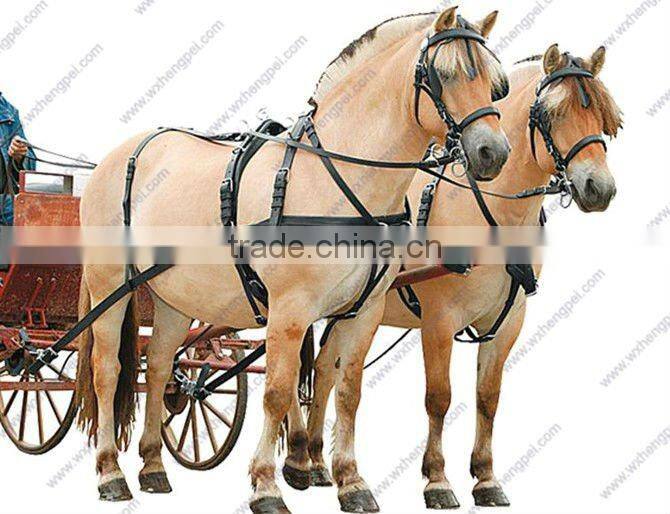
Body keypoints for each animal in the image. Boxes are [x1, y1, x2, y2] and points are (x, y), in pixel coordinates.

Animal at [74, 7, 510, 514]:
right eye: (445, 74)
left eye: (496, 84)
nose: (493, 152)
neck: (339, 180)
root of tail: (120, 153)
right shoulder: (290, 308)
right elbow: (279, 392)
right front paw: (266, 485)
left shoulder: (364, 311)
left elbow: (347, 391)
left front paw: (351, 481)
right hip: (109, 283)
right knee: (109, 370)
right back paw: (110, 471)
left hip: (173, 298)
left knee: (161, 367)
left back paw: (152, 466)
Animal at [303, 43, 622, 509]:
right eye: (551, 114)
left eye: (604, 117)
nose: (600, 188)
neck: (492, 215)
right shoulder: (438, 320)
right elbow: (439, 397)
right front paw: (437, 480)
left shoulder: (508, 321)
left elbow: (487, 398)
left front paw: (486, 478)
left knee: (325, 368)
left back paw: (313, 460)